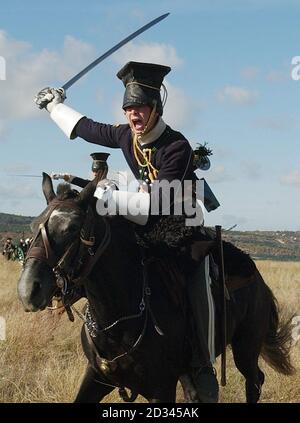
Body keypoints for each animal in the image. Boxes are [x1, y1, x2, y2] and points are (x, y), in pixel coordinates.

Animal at [17, 173, 296, 404]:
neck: (119, 319)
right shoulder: (97, 377)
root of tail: (259, 280)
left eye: (73, 227)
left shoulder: (161, 389)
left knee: (255, 380)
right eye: (33, 226)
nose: (28, 289)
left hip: (245, 348)